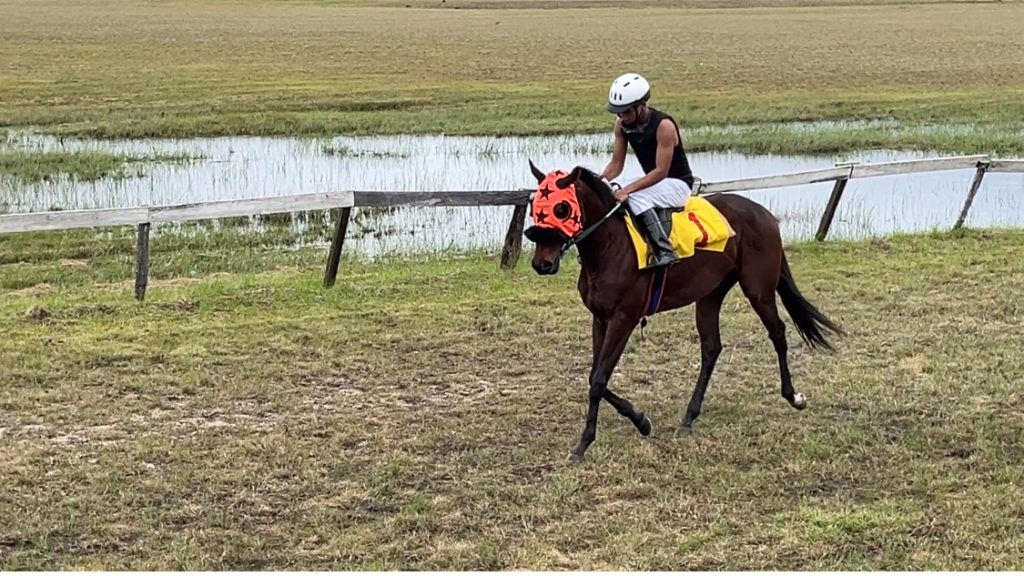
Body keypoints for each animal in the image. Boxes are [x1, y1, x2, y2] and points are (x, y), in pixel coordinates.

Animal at [524, 159, 843, 461]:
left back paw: (793, 396)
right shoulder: (600, 319)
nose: (541, 264)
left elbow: (599, 379)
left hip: (758, 288)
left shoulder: (623, 319)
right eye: (534, 207)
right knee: (712, 347)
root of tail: (764, 214)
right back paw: (689, 417)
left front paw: (584, 443)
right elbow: (595, 376)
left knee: (777, 332)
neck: (610, 245)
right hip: (710, 294)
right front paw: (640, 421)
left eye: (561, 208)